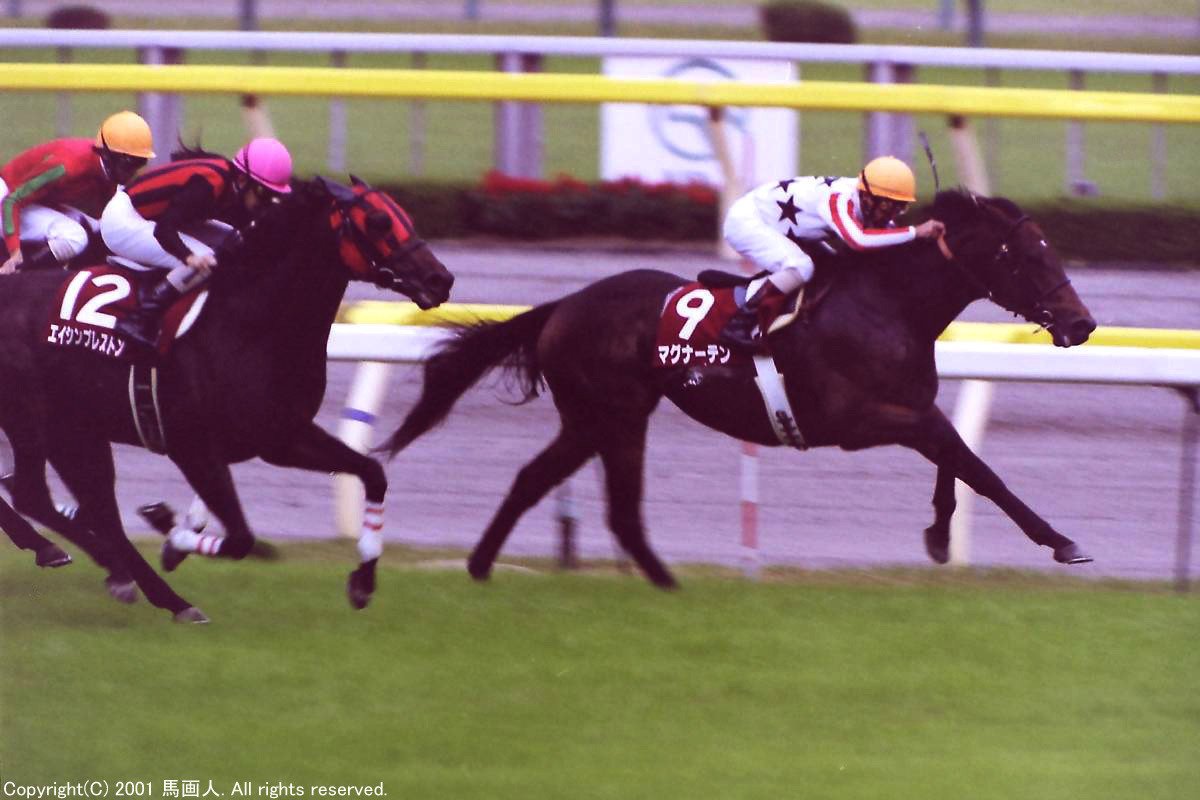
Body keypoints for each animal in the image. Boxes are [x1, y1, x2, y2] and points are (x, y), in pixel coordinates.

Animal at [0, 175, 453, 620]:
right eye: (378, 221)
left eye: (405, 216)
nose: (440, 280)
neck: (250, 322)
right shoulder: (193, 447)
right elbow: (239, 539)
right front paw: (170, 534)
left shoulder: (282, 436)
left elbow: (373, 473)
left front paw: (363, 581)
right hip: (30, 418)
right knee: (33, 493)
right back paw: (83, 559)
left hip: (76, 430)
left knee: (92, 509)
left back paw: (143, 585)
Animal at [381, 190, 1097, 588]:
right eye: (1025, 256)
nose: (1082, 323)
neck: (889, 302)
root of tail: (564, 305)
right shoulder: (860, 420)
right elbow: (974, 464)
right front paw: (1062, 541)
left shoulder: (908, 409)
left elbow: (957, 458)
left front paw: (941, 536)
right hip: (611, 413)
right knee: (608, 504)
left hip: (598, 418)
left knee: (547, 484)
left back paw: (486, 568)